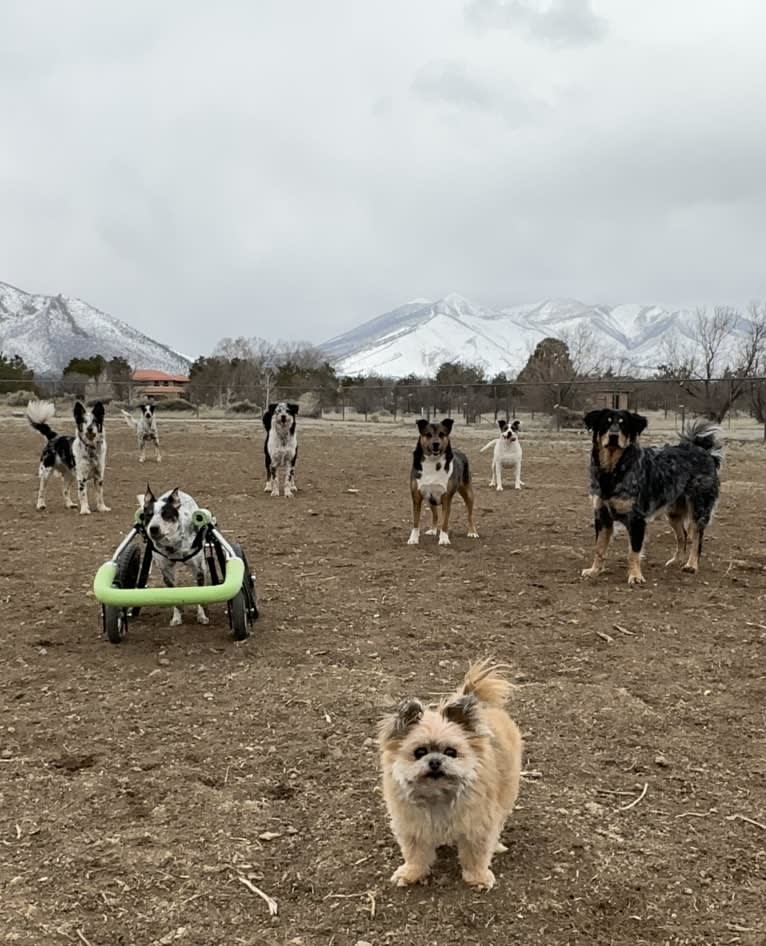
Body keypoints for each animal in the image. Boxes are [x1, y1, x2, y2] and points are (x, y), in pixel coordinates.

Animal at [141, 486, 210, 628]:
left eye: (166, 514)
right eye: (148, 515)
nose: (153, 528)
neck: (173, 545)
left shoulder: (198, 569)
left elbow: (200, 593)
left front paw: (201, 616)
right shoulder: (166, 572)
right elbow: (174, 594)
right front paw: (177, 617)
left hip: (203, 566)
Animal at [380, 660, 524, 888]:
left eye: (451, 752)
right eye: (419, 752)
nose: (435, 761)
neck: (438, 796)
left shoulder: (478, 826)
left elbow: (476, 855)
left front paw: (478, 877)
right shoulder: (413, 828)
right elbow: (415, 855)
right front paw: (411, 873)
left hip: (507, 791)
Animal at [408, 414, 480, 544]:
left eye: (442, 434)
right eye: (428, 434)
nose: (436, 444)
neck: (432, 462)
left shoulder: (446, 497)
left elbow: (445, 522)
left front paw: (444, 539)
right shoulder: (416, 496)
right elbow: (416, 521)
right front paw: (413, 539)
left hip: (468, 493)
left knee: (470, 515)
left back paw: (472, 532)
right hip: (431, 499)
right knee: (435, 515)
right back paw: (432, 530)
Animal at [584, 410, 724, 588]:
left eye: (623, 424)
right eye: (605, 423)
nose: (613, 435)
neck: (612, 471)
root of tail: (704, 451)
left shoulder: (636, 520)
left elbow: (633, 552)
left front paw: (635, 576)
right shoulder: (602, 517)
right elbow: (599, 548)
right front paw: (594, 570)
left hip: (699, 508)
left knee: (697, 539)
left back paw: (691, 565)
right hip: (673, 514)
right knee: (683, 536)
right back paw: (676, 561)